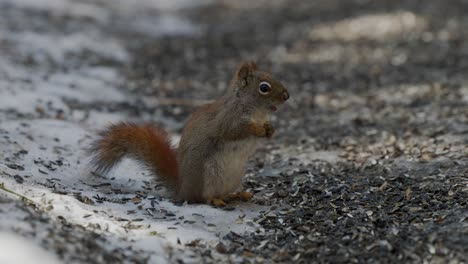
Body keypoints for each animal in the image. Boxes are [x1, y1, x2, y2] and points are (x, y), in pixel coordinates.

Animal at [88, 62, 288, 206]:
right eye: (264, 88)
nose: (287, 96)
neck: (256, 112)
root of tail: (183, 189)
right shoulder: (227, 119)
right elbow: (234, 131)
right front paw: (258, 129)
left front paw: (270, 129)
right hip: (206, 176)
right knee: (202, 197)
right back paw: (214, 200)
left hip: (234, 175)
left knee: (223, 193)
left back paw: (237, 195)